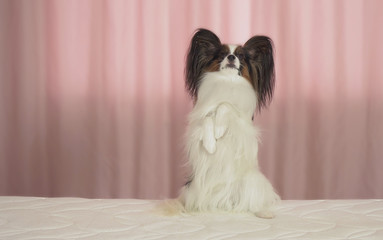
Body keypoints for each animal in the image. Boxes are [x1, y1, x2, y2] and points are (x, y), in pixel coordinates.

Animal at [160, 29, 280, 218]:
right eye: (222, 55)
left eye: (241, 56)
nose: (231, 57)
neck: (227, 82)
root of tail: (224, 202)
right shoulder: (199, 120)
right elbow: (208, 118)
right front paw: (211, 144)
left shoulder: (242, 125)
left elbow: (225, 105)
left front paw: (219, 130)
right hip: (193, 188)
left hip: (251, 182)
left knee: (250, 202)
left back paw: (263, 212)